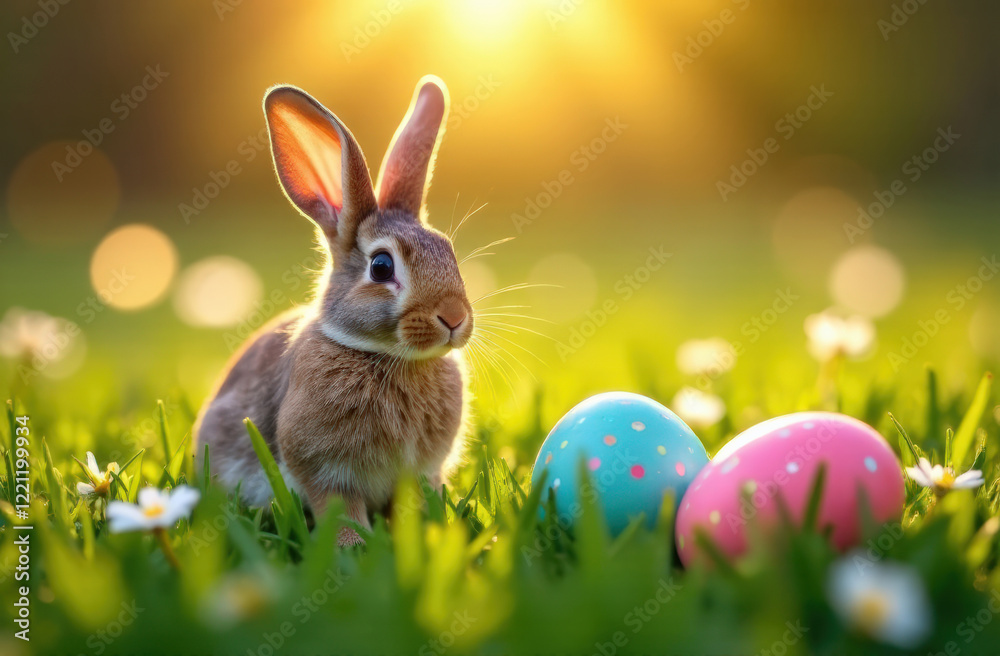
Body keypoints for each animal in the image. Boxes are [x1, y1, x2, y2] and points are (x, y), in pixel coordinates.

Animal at [194, 76, 473, 547]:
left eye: (449, 252)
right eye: (382, 267)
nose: (454, 318)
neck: (387, 357)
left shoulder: (421, 472)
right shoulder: (326, 472)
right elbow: (341, 510)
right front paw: (354, 549)